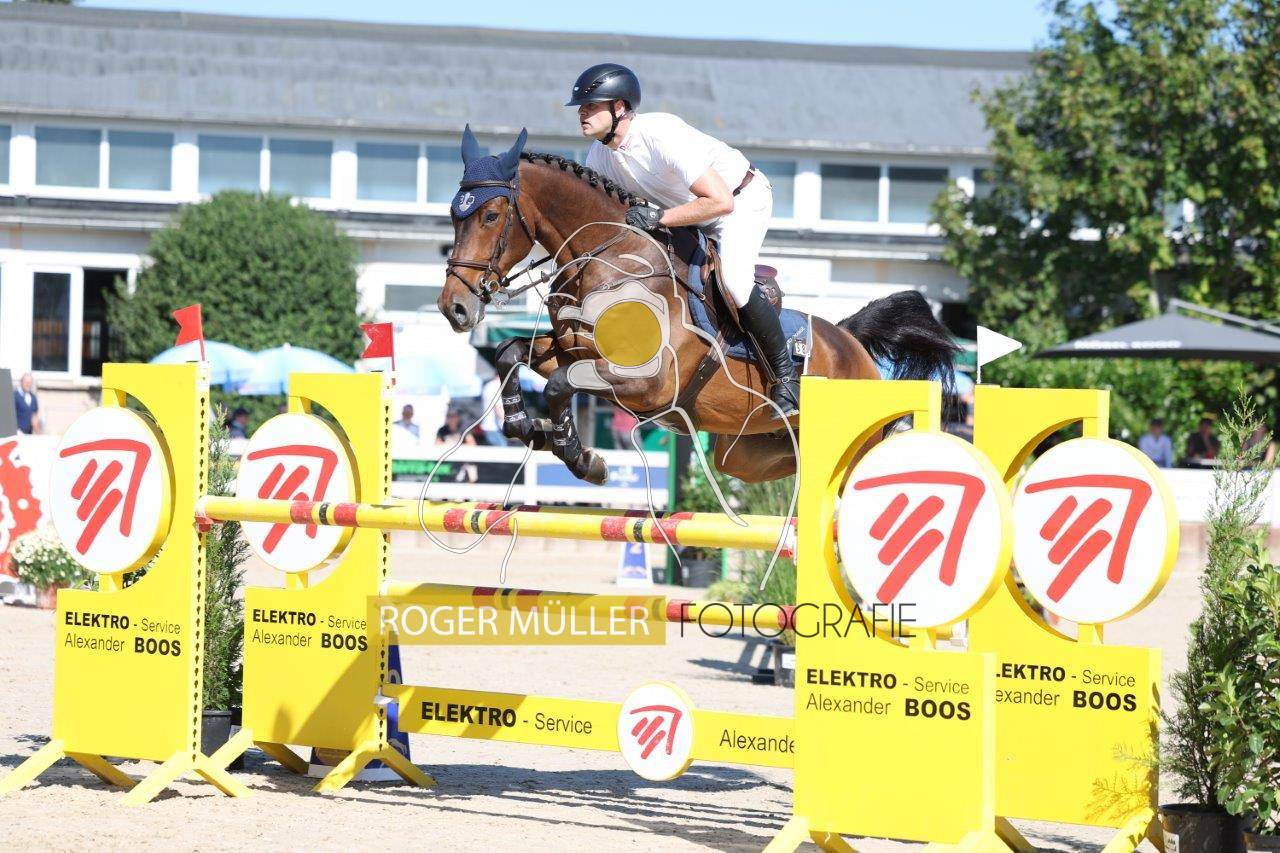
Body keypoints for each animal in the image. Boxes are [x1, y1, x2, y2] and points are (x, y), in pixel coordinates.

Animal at [439, 127, 957, 485]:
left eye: (490, 215)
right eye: (452, 214)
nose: (454, 308)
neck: (610, 257)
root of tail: (852, 342)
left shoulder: (647, 382)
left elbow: (560, 384)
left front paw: (576, 453)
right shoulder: (570, 350)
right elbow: (513, 356)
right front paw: (529, 427)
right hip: (744, 453)